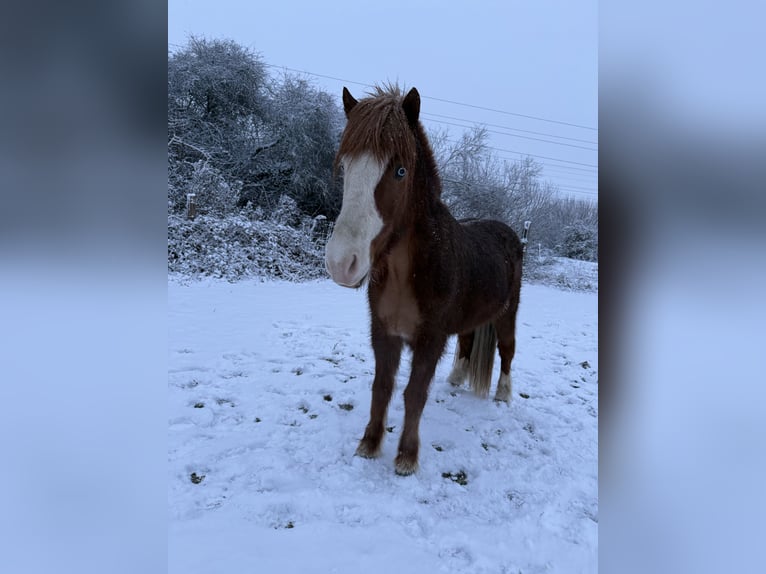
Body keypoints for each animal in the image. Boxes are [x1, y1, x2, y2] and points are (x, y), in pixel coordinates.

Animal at [325, 85, 523, 476]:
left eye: (400, 171)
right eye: (345, 167)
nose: (341, 263)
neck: (409, 273)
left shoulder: (429, 339)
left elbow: (414, 394)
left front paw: (406, 457)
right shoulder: (384, 332)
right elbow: (382, 387)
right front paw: (369, 444)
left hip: (508, 313)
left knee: (507, 350)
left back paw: (503, 395)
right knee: (467, 341)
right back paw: (456, 378)